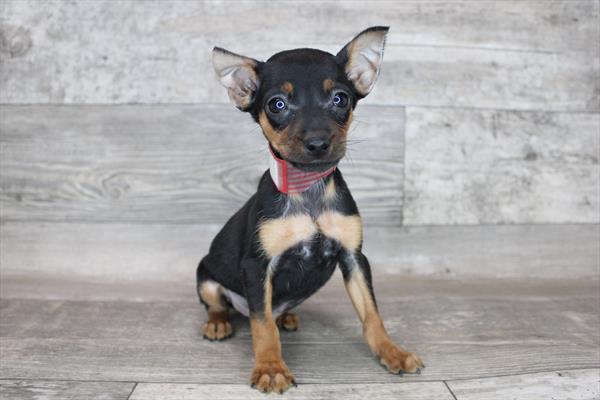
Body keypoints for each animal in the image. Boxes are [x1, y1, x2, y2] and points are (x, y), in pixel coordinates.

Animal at [197, 27, 422, 394]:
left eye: (340, 99)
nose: (318, 143)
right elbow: (262, 326)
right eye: (277, 104)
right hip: (206, 277)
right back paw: (218, 324)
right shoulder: (257, 266)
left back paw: (287, 316)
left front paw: (392, 352)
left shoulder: (354, 257)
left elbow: (372, 314)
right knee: (221, 306)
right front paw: (271, 367)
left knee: (275, 312)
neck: (307, 187)